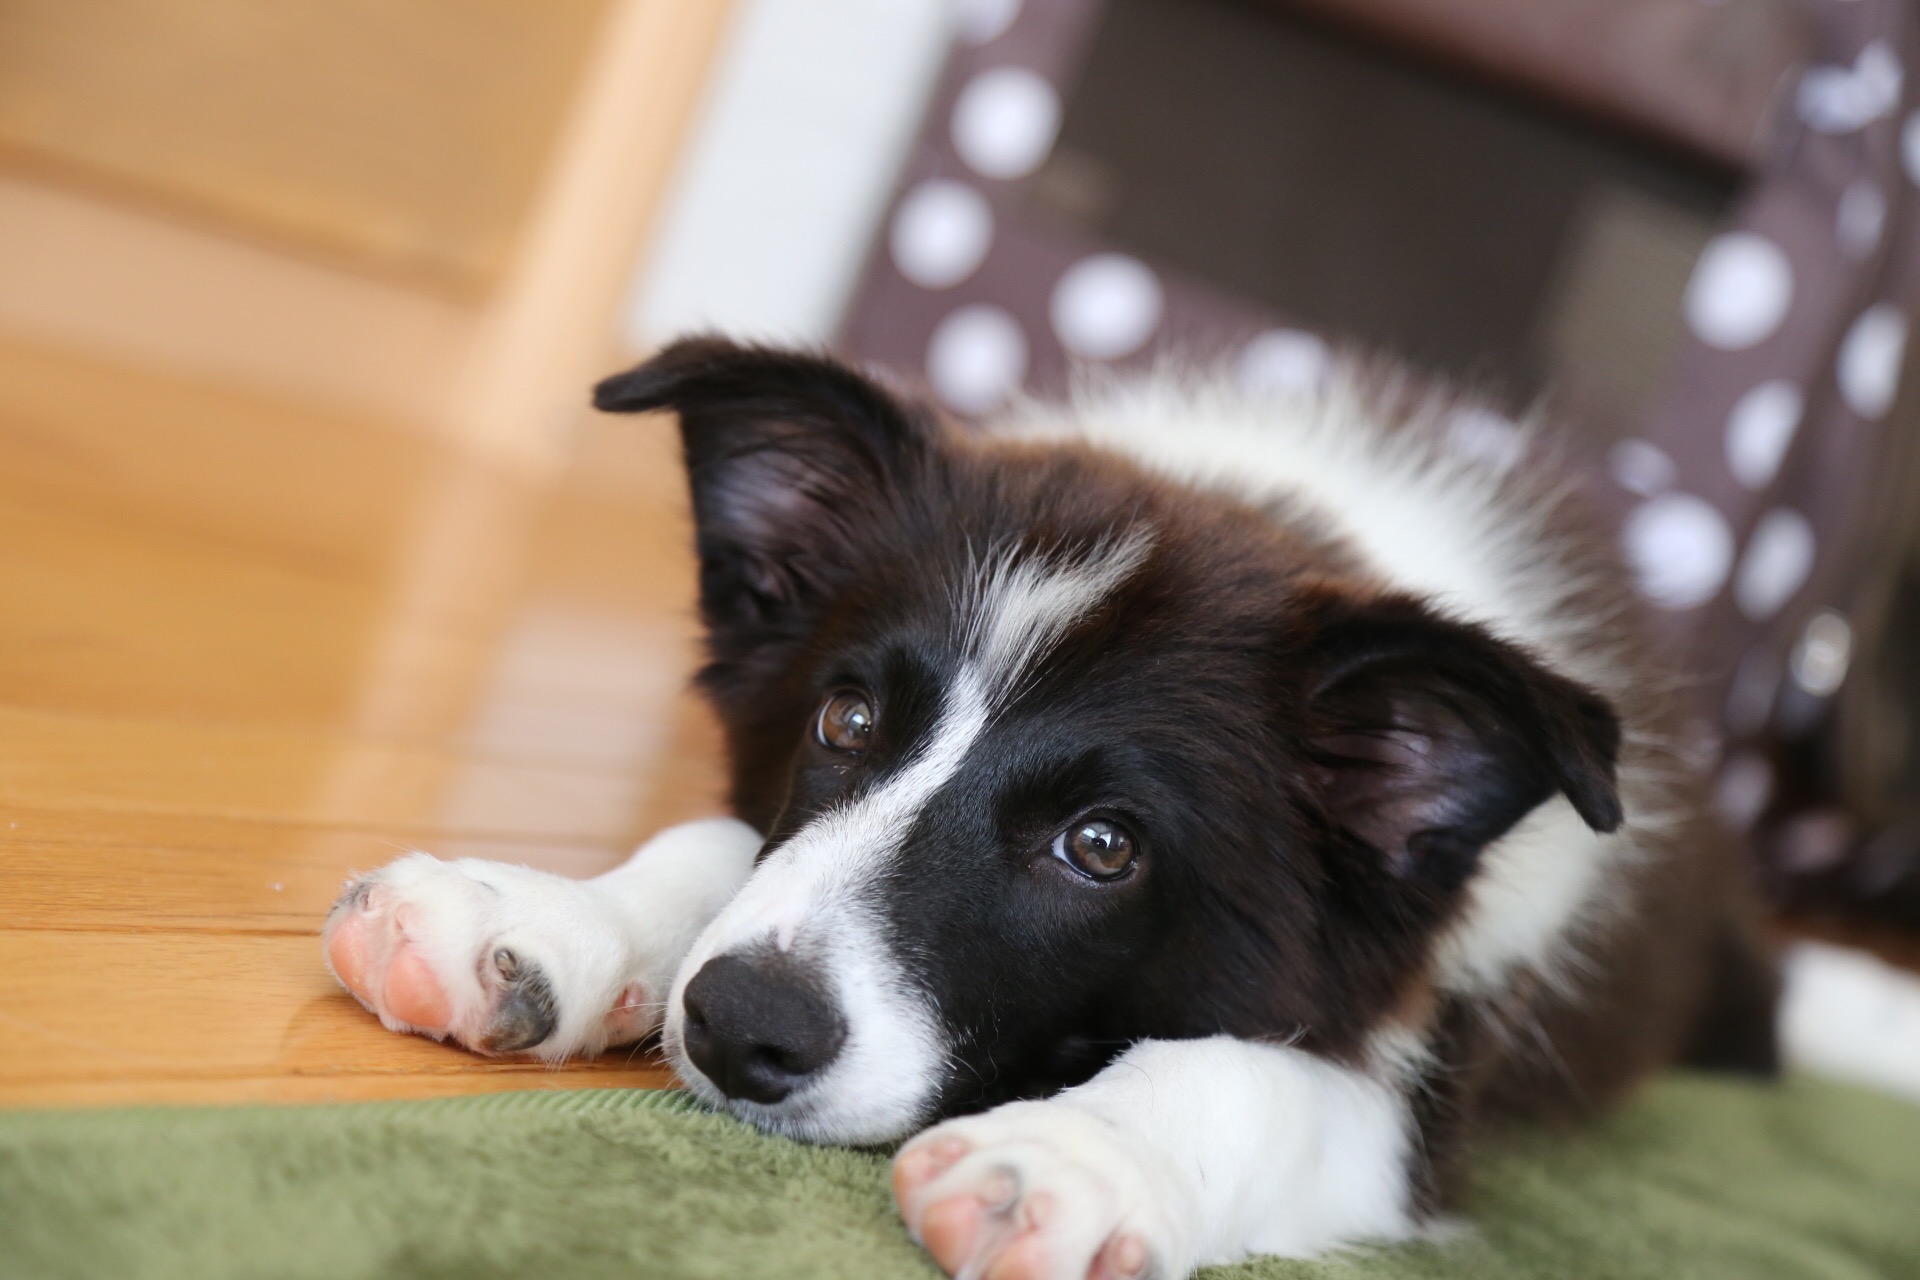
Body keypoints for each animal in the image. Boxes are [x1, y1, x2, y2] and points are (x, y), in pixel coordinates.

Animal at [326, 337, 1904, 1280]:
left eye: (1101, 848)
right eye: (845, 720)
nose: (742, 1028)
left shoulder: (1431, 1049)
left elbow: (1250, 1075)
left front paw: (1065, 1159)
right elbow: (720, 839)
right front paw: (526, 916)